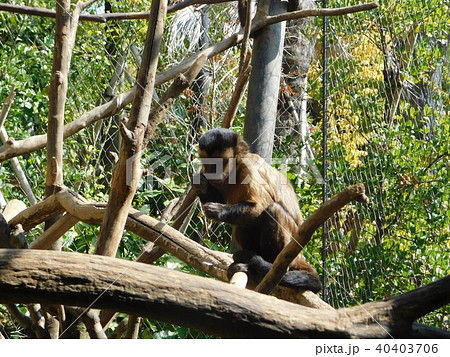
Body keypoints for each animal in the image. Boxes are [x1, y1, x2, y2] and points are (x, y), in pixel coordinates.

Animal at [192, 128, 322, 292]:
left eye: (220, 162)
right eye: (208, 164)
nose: (211, 171)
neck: (233, 172)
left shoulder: (247, 168)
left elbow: (260, 207)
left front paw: (218, 210)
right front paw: (201, 185)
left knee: (274, 210)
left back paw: (266, 266)